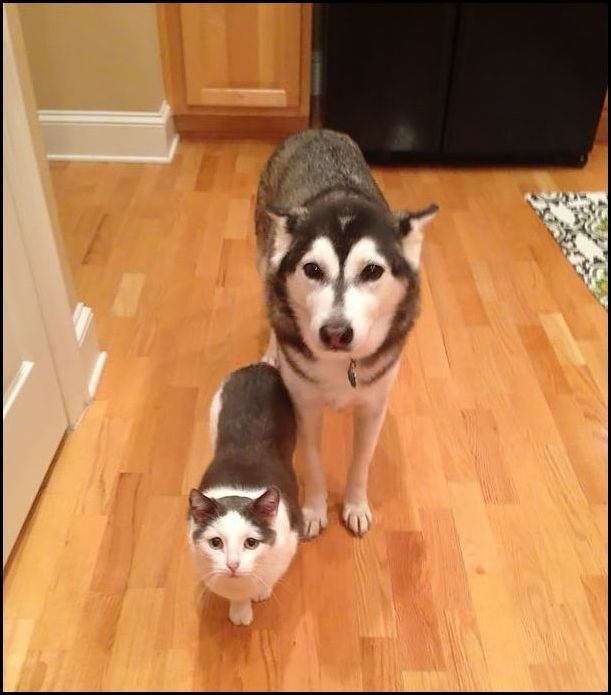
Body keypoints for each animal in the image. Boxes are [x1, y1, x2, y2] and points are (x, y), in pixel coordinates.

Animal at [188, 362, 303, 626]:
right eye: (216, 543)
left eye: (251, 543)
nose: (232, 564)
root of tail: (259, 366)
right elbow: (236, 597)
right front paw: (240, 611)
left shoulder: (288, 544)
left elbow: (269, 577)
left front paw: (260, 591)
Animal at [255, 129, 437, 538]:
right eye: (312, 269)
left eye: (372, 271)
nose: (336, 333)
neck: (341, 365)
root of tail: (314, 130)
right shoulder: (304, 405)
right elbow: (312, 462)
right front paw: (313, 509)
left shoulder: (373, 406)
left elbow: (361, 463)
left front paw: (354, 505)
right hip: (264, 256)